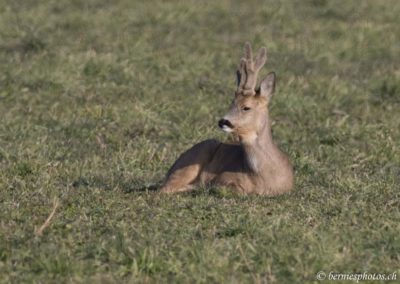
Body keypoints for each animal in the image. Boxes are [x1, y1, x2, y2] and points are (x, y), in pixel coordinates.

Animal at [159, 42, 294, 195]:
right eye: (232, 103)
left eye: (246, 107)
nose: (223, 121)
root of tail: (170, 169)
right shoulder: (222, 178)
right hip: (195, 156)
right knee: (165, 188)